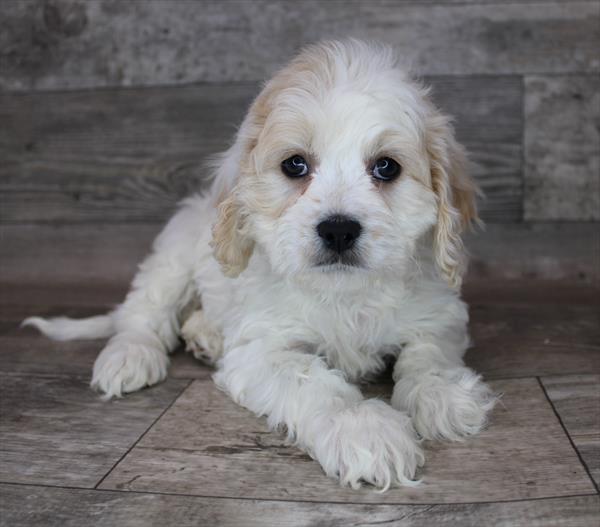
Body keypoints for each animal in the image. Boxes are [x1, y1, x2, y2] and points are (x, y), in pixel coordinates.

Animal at [25, 40, 496, 490]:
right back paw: (130, 355)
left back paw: (205, 337)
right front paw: (363, 430)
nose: (339, 230)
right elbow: (316, 384)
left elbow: (428, 355)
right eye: (295, 165)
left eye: (386, 167)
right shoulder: (262, 350)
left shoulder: (438, 316)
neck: (344, 293)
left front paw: (443, 395)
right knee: (143, 311)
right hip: (173, 255)